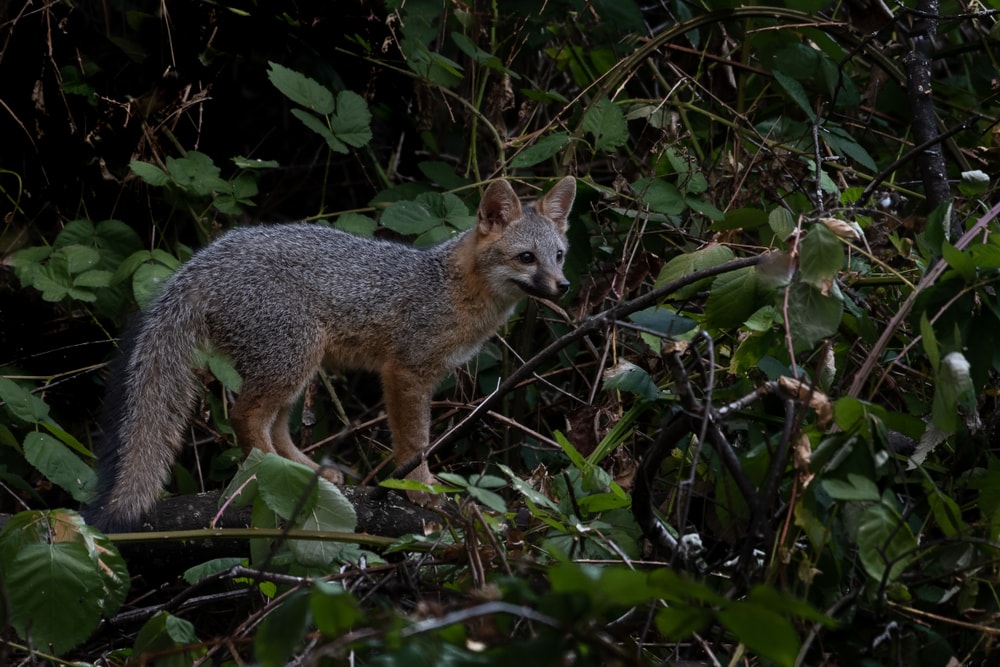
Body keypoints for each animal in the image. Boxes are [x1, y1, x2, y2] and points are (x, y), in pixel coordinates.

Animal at [83, 176, 576, 532]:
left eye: (559, 255)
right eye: (526, 258)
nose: (564, 286)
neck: (453, 287)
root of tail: (203, 261)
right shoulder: (406, 372)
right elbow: (413, 442)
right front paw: (420, 489)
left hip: (297, 366)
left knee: (274, 424)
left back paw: (299, 472)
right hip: (292, 359)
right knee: (246, 417)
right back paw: (266, 472)